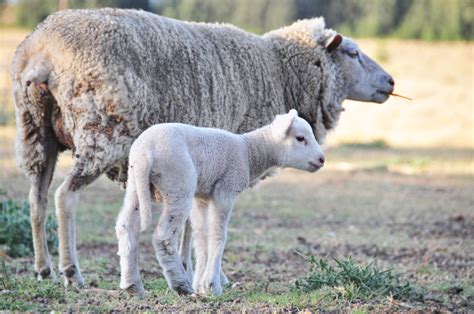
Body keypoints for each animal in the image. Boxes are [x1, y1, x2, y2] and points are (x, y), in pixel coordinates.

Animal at [115, 109, 326, 296]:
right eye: (300, 138)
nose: (322, 159)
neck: (248, 152)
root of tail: (145, 152)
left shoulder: (201, 197)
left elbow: (202, 237)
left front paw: (201, 284)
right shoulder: (225, 190)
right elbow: (218, 235)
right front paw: (212, 285)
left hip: (136, 184)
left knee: (126, 226)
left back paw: (132, 285)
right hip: (178, 183)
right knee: (163, 237)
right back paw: (180, 284)